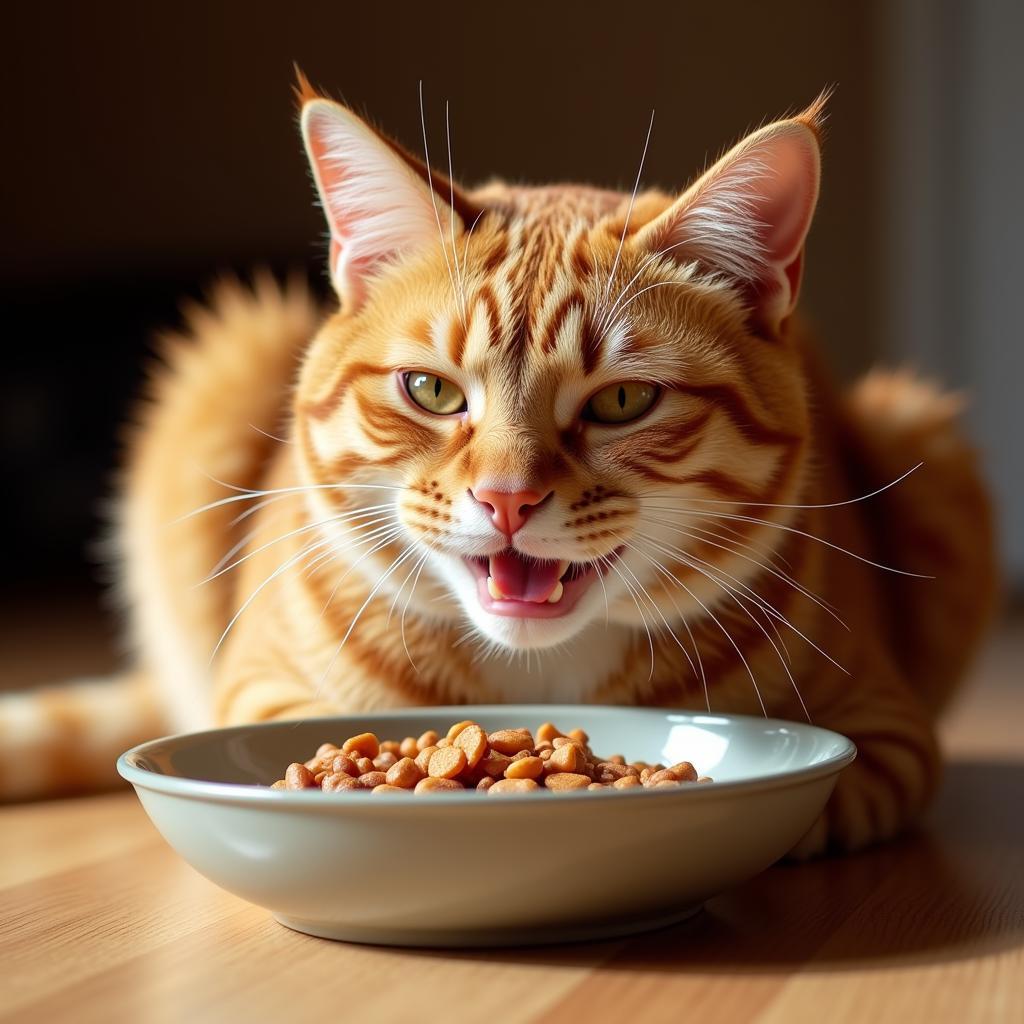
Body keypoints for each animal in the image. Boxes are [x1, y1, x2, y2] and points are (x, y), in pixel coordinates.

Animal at [0, 75, 991, 851]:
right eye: (432, 391)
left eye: (622, 402)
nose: (506, 498)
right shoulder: (256, 692)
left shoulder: (886, 735)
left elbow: (819, 814)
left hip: (928, 447)